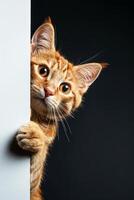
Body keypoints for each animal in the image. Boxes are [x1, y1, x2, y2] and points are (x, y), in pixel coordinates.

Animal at [16, 18, 104, 200]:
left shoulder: (31, 188)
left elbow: (37, 165)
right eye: (43, 70)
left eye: (65, 88)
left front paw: (36, 138)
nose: (48, 91)